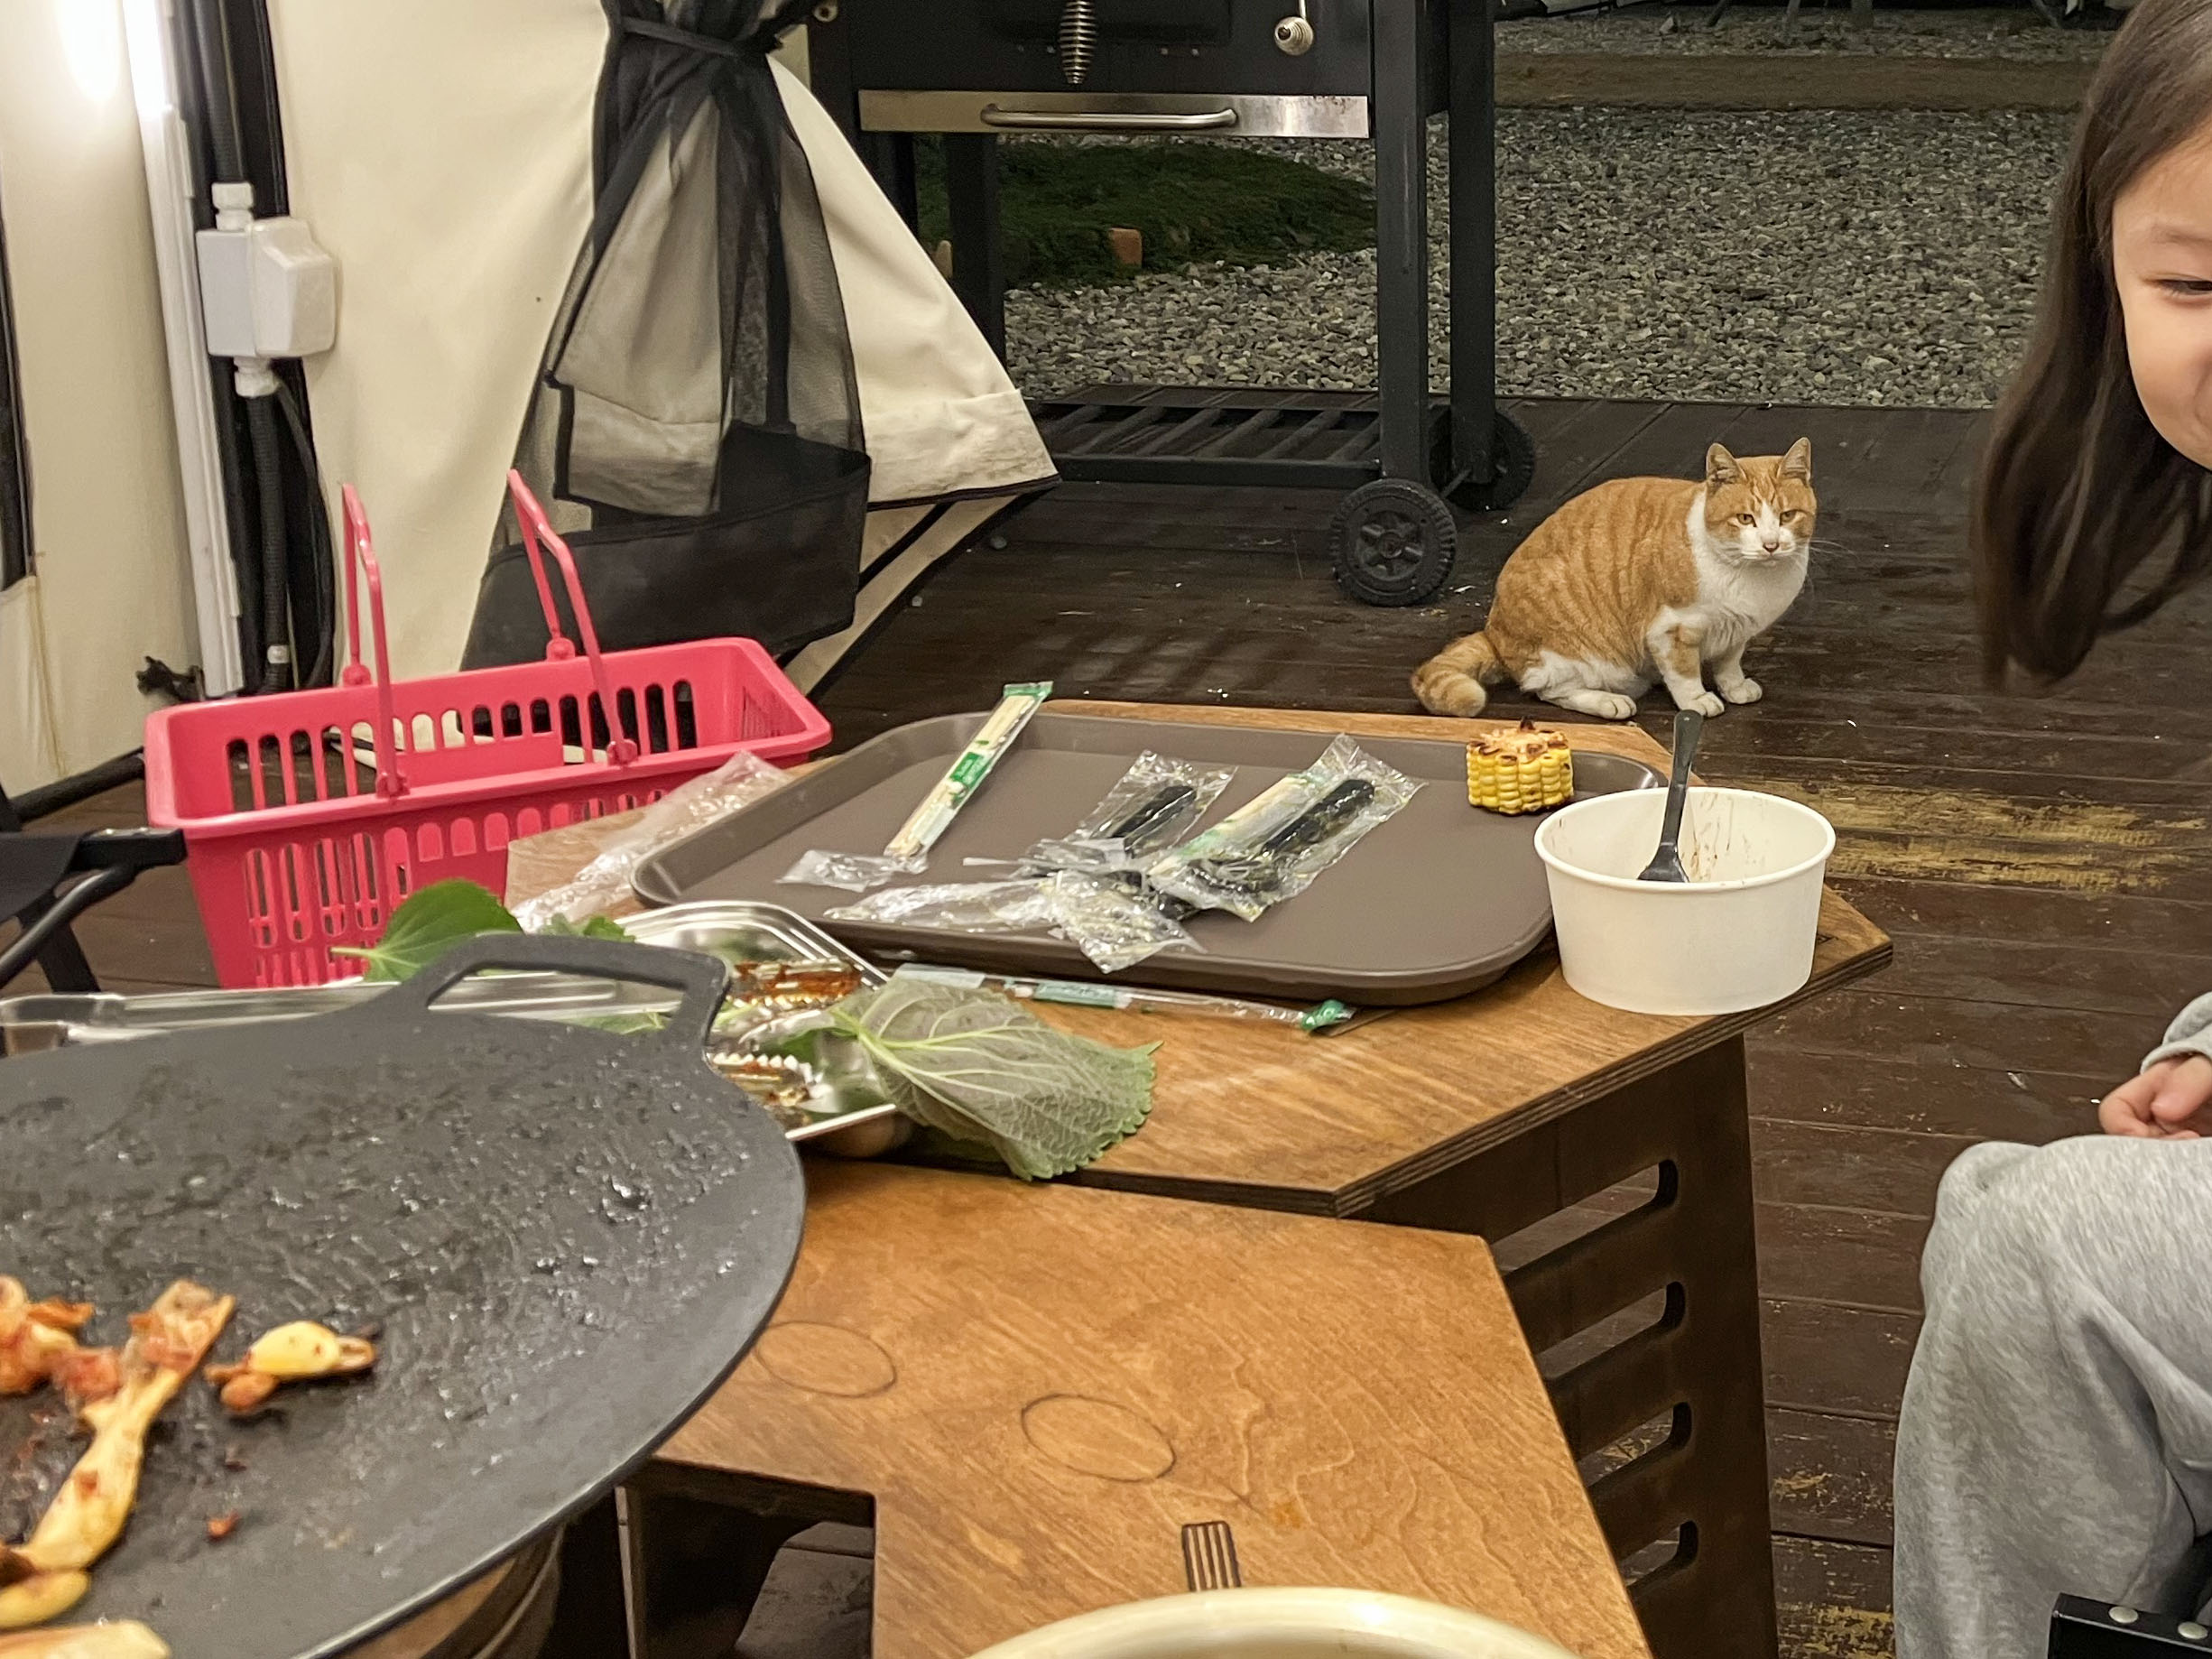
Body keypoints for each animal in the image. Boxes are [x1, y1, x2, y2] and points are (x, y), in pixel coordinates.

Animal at [1411, 439, 1815, 722]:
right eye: (1746, 518)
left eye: (1787, 516)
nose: (1771, 544)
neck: (1752, 579)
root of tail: (1494, 631)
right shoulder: (1670, 629)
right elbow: (1684, 673)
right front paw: (1697, 700)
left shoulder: (1736, 630)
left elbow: (1729, 663)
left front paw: (1734, 687)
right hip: (1584, 657)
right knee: (1550, 690)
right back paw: (1610, 702)